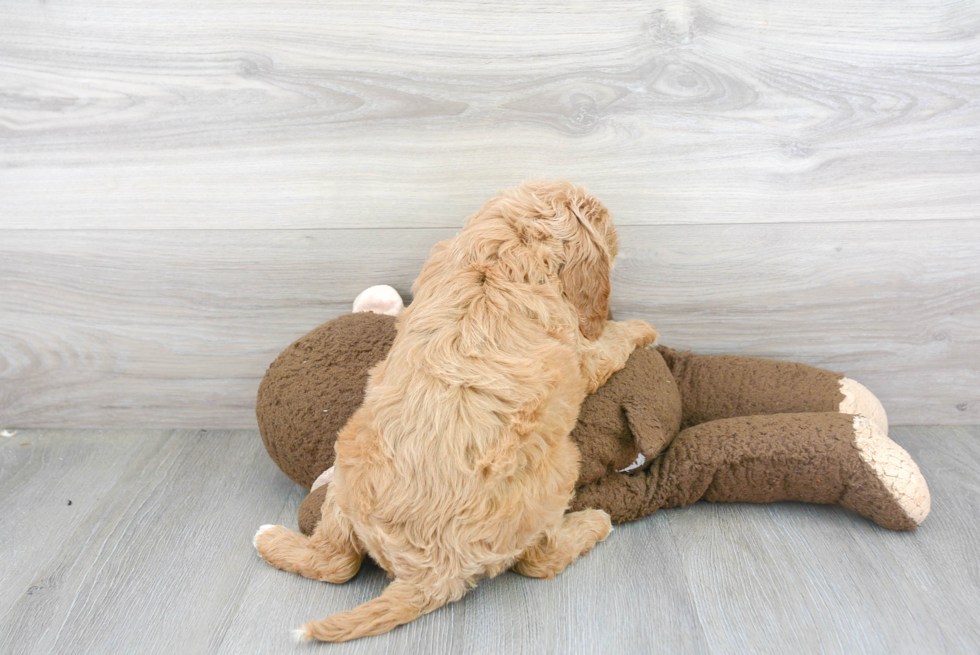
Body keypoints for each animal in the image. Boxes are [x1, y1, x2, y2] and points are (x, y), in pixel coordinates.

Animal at [256, 182, 664, 644]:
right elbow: (609, 345)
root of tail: (432, 573)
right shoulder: (581, 353)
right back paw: (594, 522)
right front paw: (641, 328)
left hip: (348, 471)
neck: (508, 243)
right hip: (559, 471)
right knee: (539, 560)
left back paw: (270, 539)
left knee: (335, 562)